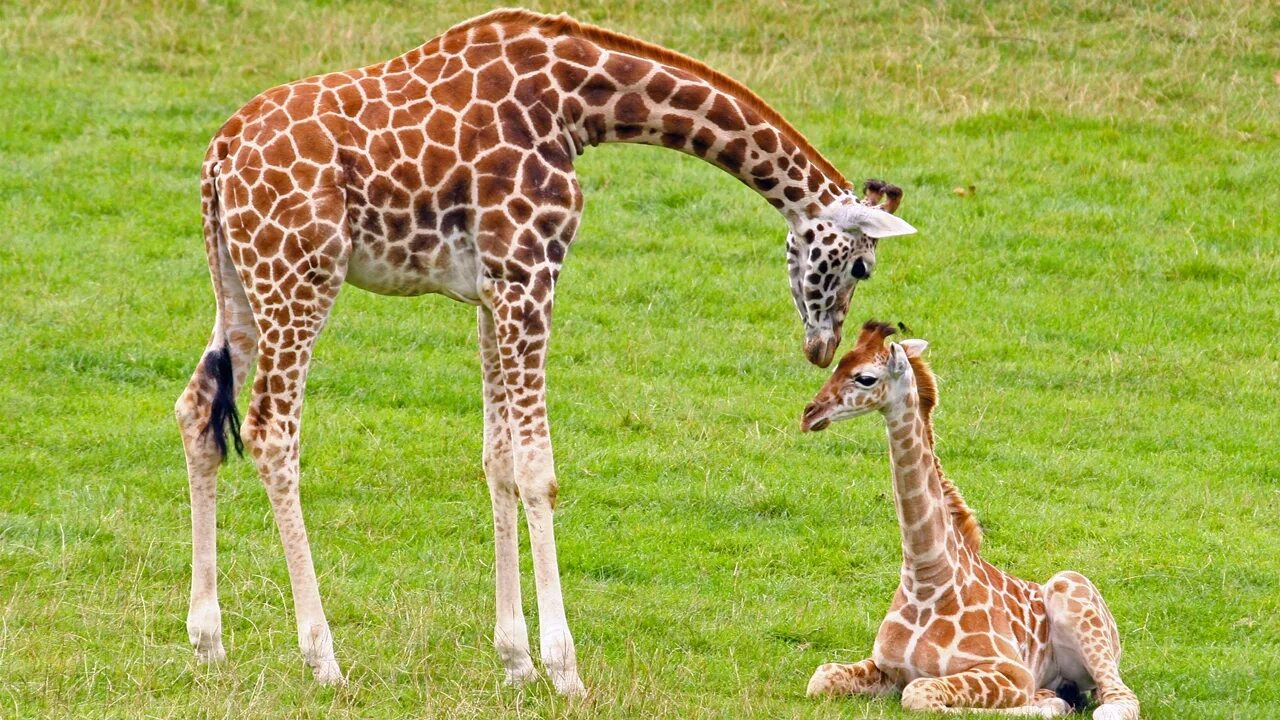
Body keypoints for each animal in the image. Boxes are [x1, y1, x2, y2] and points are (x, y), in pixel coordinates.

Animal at [175, 5, 916, 691]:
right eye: (860, 266)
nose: (822, 347)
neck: (575, 103)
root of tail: (217, 155)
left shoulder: (491, 291)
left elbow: (497, 459)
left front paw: (516, 662)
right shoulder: (529, 276)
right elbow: (538, 469)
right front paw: (564, 668)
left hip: (237, 284)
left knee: (197, 409)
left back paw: (208, 642)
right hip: (299, 278)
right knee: (272, 431)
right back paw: (322, 658)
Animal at [798, 322, 1141, 712]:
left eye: (865, 377)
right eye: (838, 363)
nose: (809, 414)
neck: (926, 580)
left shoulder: (1011, 672)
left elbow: (919, 693)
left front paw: (1044, 704)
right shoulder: (885, 666)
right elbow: (822, 676)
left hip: (1074, 593)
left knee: (1119, 699)